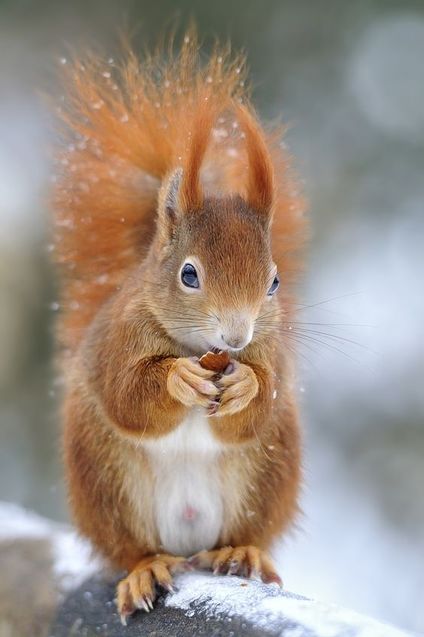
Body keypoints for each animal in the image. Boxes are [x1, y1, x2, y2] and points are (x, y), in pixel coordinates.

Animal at [51, 29, 306, 620]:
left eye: (274, 281)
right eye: (189, 274)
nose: (235, 337)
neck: (197, 345)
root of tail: (189, 544)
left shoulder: (271, 353)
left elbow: (258, 406)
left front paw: (246, 384)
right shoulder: (118, 341)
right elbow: (126, 395)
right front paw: (177, 378)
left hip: (267, 476)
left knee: (245, 528)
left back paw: (240, 551)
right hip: (106, 483)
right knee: (130, 547)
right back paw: (146, 568)